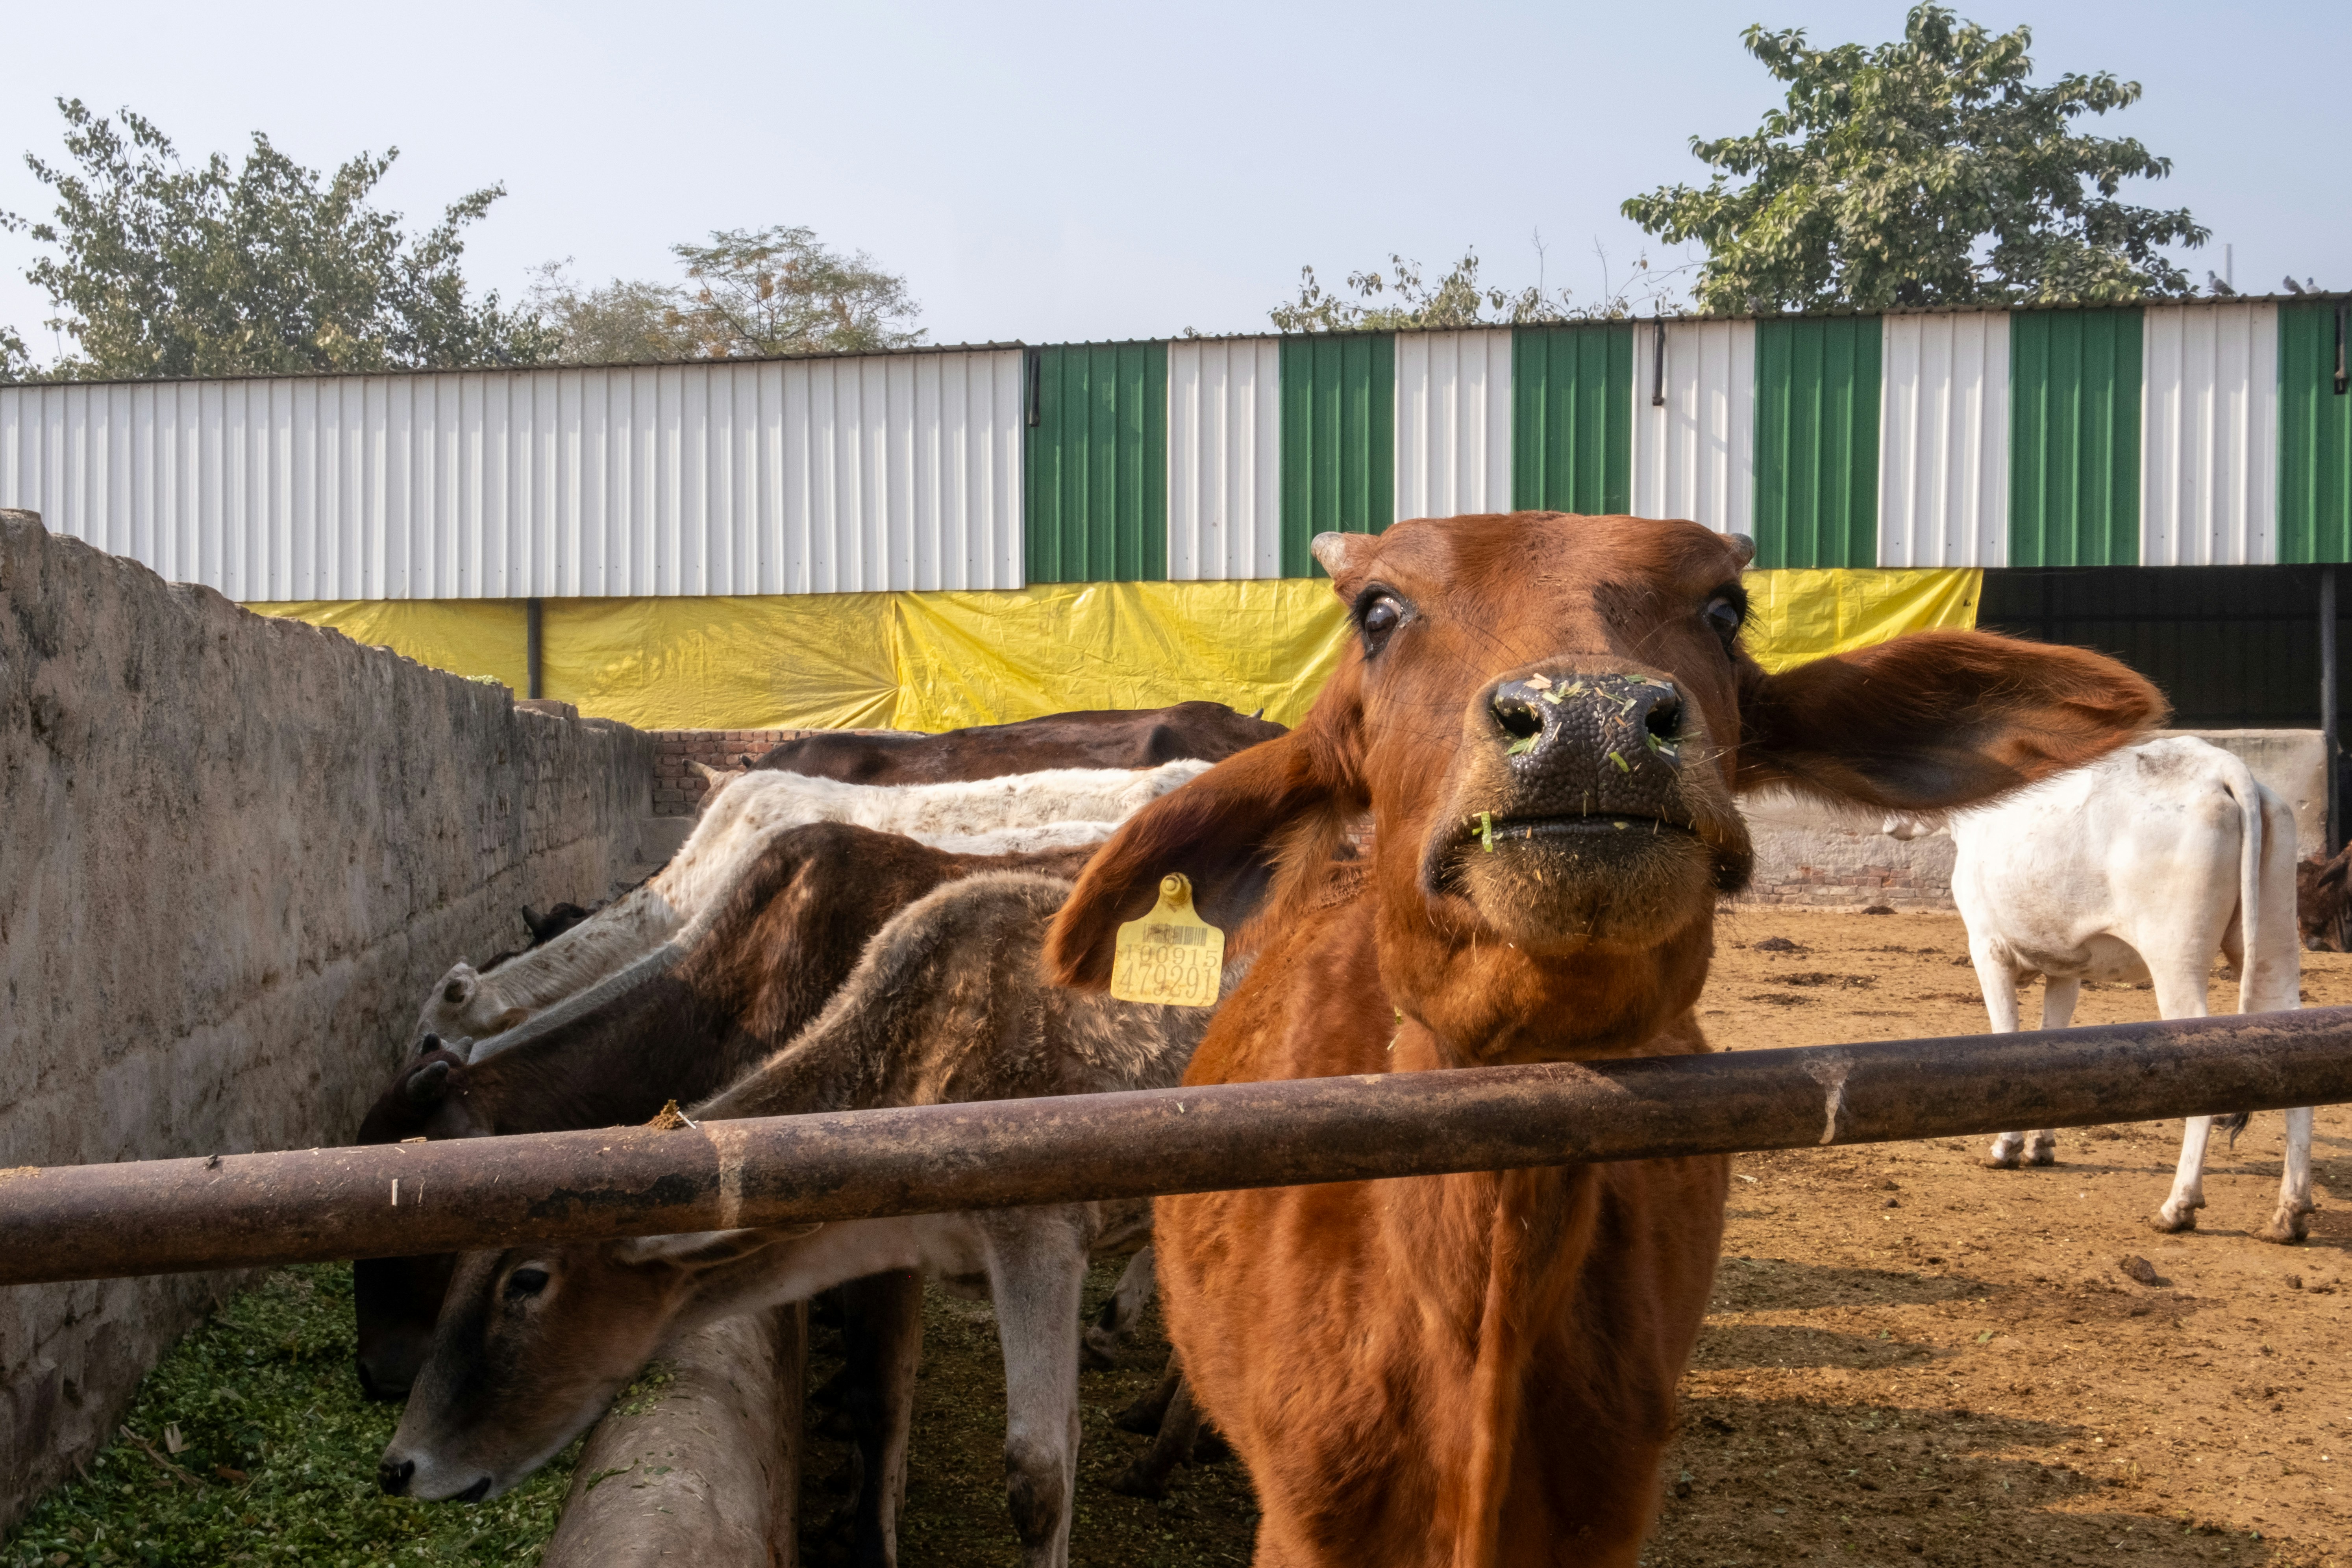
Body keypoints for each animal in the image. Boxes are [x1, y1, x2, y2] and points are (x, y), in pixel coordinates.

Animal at [379, 873, 1213, 1568]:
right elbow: (888, 1397)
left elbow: (1039, 1476)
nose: (399, 1464)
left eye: (527, 1278)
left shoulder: (1041, 1236)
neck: (918, 1063)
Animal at [1890, 736, 2311, 1242]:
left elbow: (2006, 1037)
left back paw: (2178, 1205)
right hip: (2273, 944)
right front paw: (2040, 1145)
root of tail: (2216, 764)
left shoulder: (1986, 947)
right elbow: (2048, 1044)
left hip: (2174, 956)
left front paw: (2005, 1146)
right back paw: (2289, 1213)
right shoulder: (2064, 968)